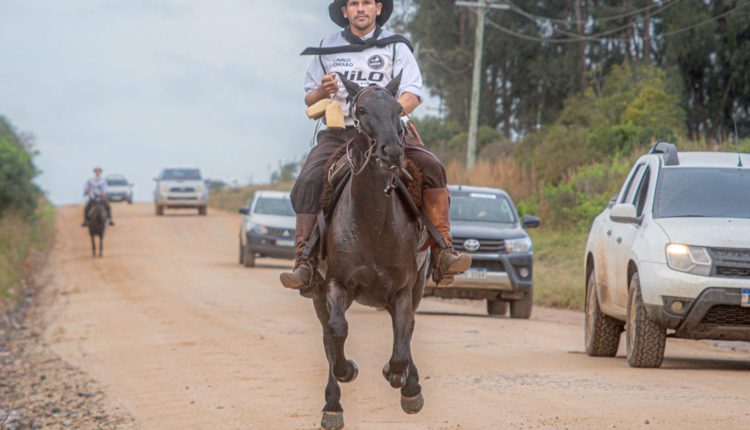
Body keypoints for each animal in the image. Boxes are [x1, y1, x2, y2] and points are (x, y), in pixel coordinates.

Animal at [312, 72, 428, 428]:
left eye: (397, 109)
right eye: (361, 110)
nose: (391, 152)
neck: (374, 222)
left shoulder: (404, 289)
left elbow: (402, 343)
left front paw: (400, 378)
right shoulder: (336, 284)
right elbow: (337, 330)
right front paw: (347, 369)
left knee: (408, 329)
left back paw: (409, 387)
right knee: (327, 335)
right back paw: (332, 406)